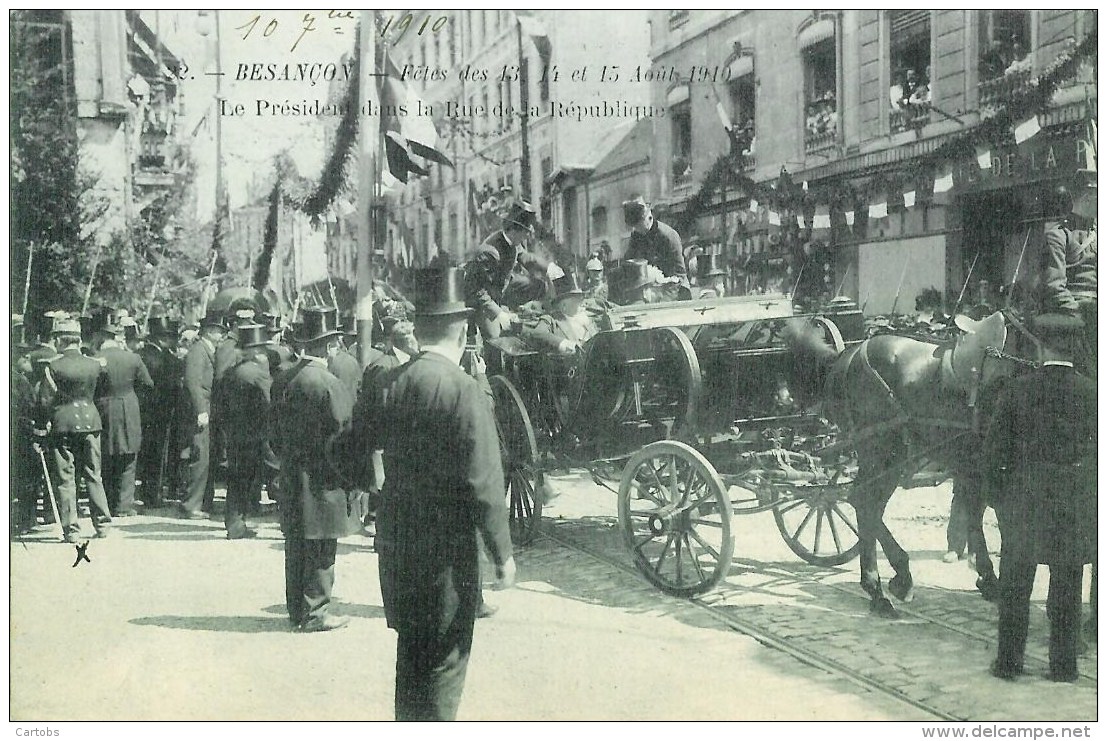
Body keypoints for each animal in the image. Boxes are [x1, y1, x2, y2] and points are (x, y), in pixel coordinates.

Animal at [783, 310, 1031, 615]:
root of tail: (846, 356)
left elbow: (979, 513)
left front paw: (990, 580)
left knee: (864, 504)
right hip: (884, 450)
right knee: (864, 501)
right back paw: (881, 587)